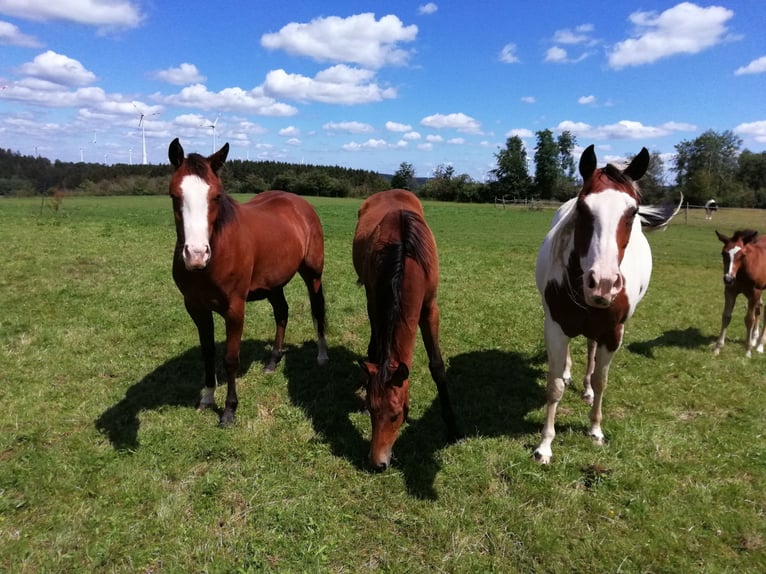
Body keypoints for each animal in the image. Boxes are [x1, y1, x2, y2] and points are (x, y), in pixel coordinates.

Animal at [536, 146, 680, 466]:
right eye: (583, 208)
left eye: (633, 211)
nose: (602, 283)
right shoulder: (555, 327)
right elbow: (554, 386)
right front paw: (545, 445)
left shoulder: (613, 334)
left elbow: (602, 381)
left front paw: (595, 429)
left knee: (591, 352)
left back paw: (587, 390)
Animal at [712, 228, 766, 356]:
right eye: (724, 253)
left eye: (742, 255)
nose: (728, 279)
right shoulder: (730, 290)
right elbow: (726, 316)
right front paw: (718, 347)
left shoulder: (754, 293)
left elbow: (749, 319)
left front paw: (748, 350)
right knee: (759, 307)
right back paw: (755, 338)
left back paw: (760, 345)